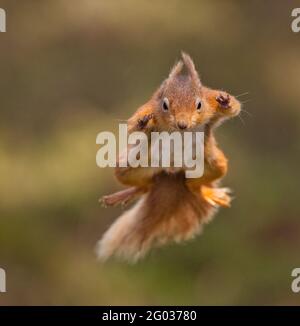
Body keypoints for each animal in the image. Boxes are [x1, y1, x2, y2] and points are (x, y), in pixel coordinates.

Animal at [96, 53, 241, 262]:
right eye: (164, 104)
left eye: (199, 104)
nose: (182, 124)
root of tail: (173, 172)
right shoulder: (150, 106)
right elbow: (133, 124)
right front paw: (143, 123)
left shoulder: (209, 100)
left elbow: (236, 108)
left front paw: (225, 101)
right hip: (130, 167)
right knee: (144, 185)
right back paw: (126, 194)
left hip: (213, 164)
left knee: (193, 184)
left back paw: (207, 192)